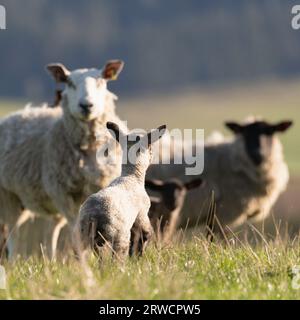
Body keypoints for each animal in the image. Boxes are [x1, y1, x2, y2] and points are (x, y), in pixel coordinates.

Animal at [0, 59, 127, 258]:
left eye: (101, 81)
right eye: (70, 83)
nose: (86, 105)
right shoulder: (66, 195)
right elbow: (77, 234)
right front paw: (84, 260)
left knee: (50, 233)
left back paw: (50, 261)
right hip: (9, 197)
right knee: (15, 236)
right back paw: (14, 262)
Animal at [77, 121, 166, 258]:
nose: (152, 155)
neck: (131, 176)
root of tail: (93, 216)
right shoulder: (142, 215)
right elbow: (144, 235)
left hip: (85, 240)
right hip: (118, 236)